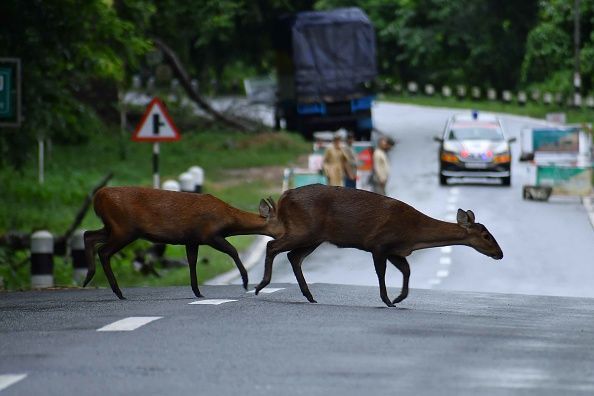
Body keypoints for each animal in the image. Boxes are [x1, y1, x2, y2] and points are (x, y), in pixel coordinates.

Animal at [82, 187, 280, 298]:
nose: (283, 235)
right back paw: (117, 292)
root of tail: (98, 197)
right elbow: (232, 251)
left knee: (88, 235)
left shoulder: (191, 239)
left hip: (113, 227)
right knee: (104, 251)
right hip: (124, 228)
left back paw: (88, 278)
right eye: (281, 222)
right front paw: (245, 282)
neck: (228, 220)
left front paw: (197, 291)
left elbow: (192, 261)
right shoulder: (209, 234)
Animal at [252, 184, 502, 308]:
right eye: (486, 235)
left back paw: (309, 295)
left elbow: (407, 270)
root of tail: (284, 197)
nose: (500, 254)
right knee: (273, 245)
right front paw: (388, 300)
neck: (415, 234)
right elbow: (381, 273)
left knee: (294, 256)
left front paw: (399, 298)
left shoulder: (395, 250)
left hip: (314, 237)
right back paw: (260, 285)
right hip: (305, 229)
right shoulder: (379, 243)